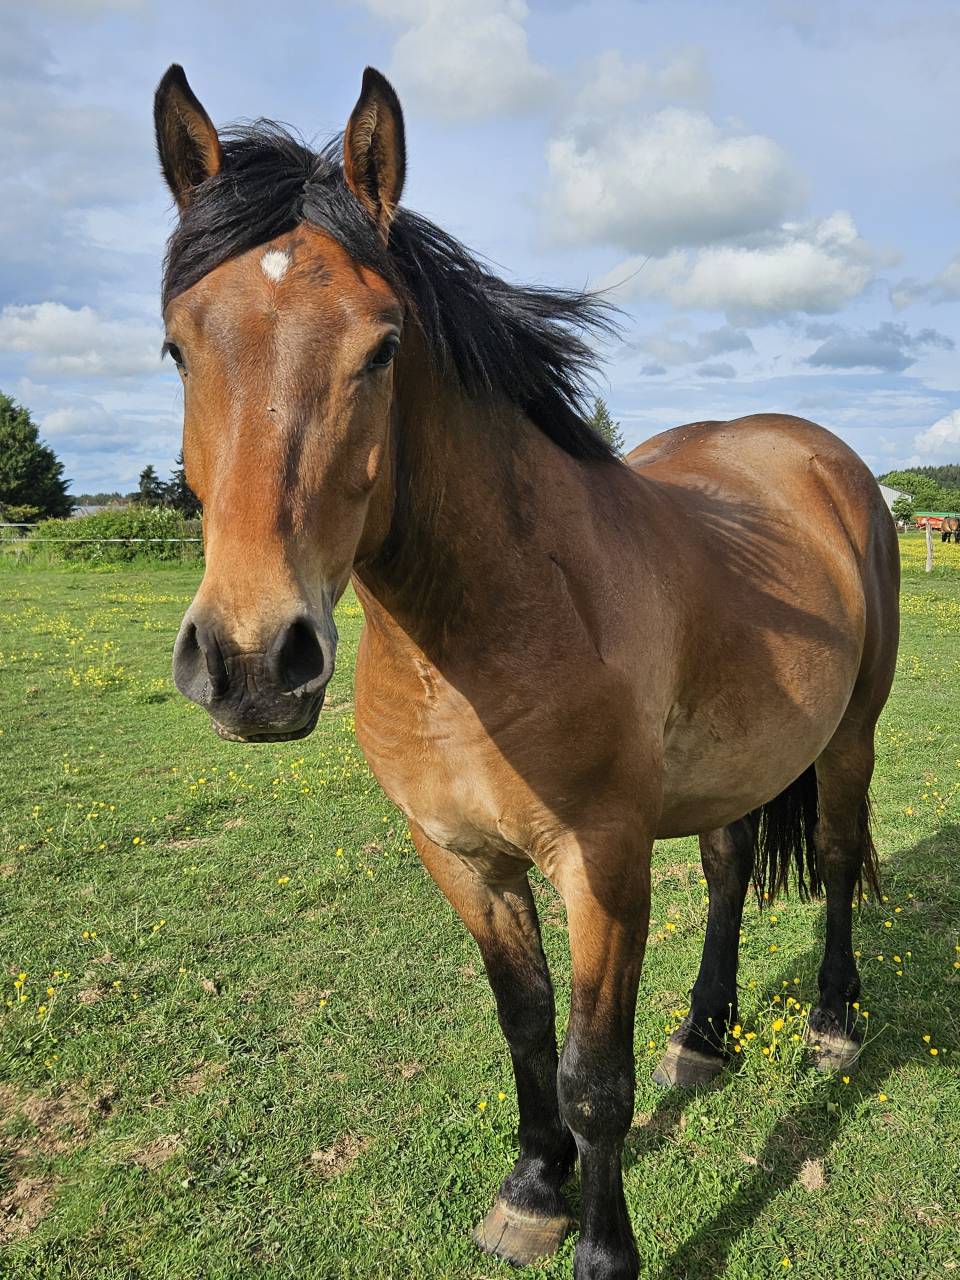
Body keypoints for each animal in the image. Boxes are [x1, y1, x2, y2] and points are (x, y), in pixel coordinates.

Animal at [155, 65, 900, 1280]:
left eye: (384, 346)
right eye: (179, 346)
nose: (254, 660)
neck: (489, 636)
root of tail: (813, 452)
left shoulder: (601, 863)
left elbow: (595, 1074)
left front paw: (603, 1248)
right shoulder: (463, 859)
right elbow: (526, 1028)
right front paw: (532, 1190)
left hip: (849, 735)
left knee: (835, 858)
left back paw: (833, 1024)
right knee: (733, 866)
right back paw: (705, 1034)